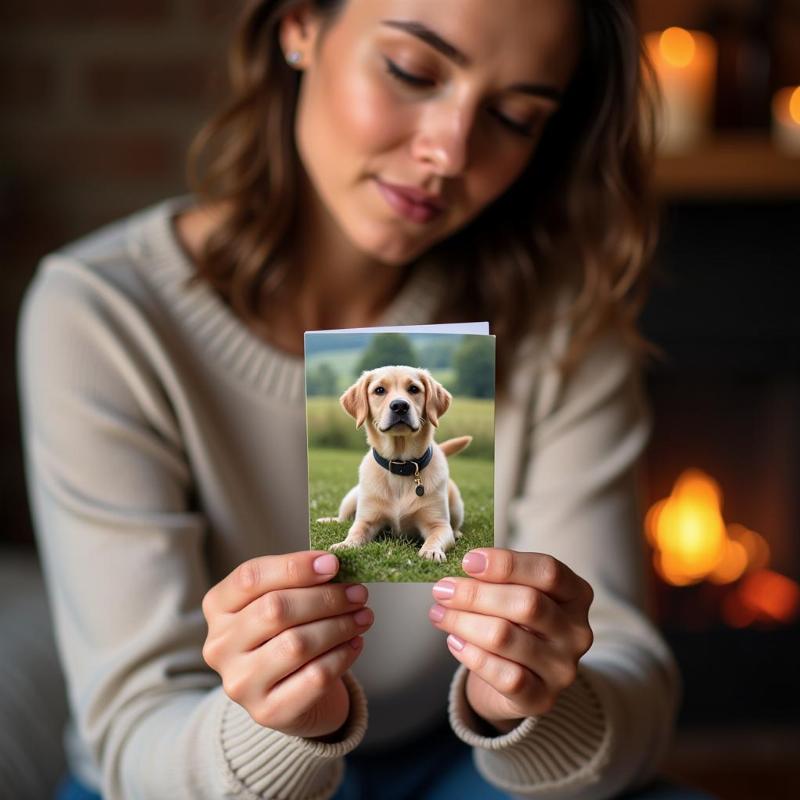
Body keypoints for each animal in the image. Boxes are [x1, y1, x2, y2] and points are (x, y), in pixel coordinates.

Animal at [318, 368, 468, 564]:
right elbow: (355, 532)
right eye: (379, 390)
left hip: (457, 506)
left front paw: (431, 551)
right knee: (343, 518)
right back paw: (328, 520)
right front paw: (344, 545)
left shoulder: (438, 524)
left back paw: (457, 532)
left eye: (414, 389)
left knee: (455, 524)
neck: (401, 465)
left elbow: (435, 536)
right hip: (351, 498)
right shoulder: (366, 520)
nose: (400, 406)